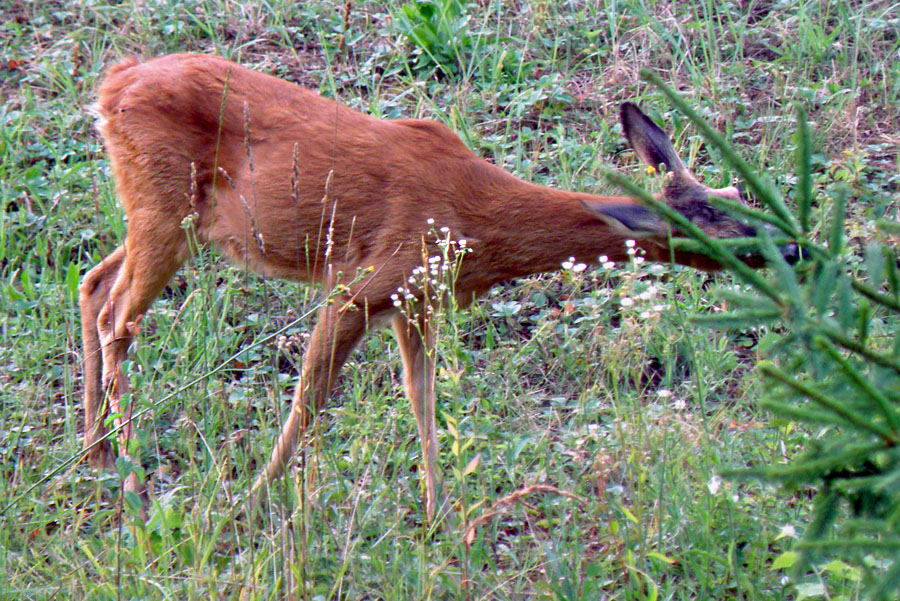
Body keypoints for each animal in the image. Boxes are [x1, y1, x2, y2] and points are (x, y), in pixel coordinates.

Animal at [81, 52, 776, 520]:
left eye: (740, 194)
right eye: (716, 216)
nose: (790, 247)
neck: (480, 219)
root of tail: (112, 83)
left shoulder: (415, 303)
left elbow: (422, 398)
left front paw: (441, 511)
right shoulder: (361, 287)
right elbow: (311, 398)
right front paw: (250, 503)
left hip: (169, 219)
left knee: (92, 283)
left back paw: (97, 457)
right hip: (163, 208)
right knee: (119, 314)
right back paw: (133, 483)